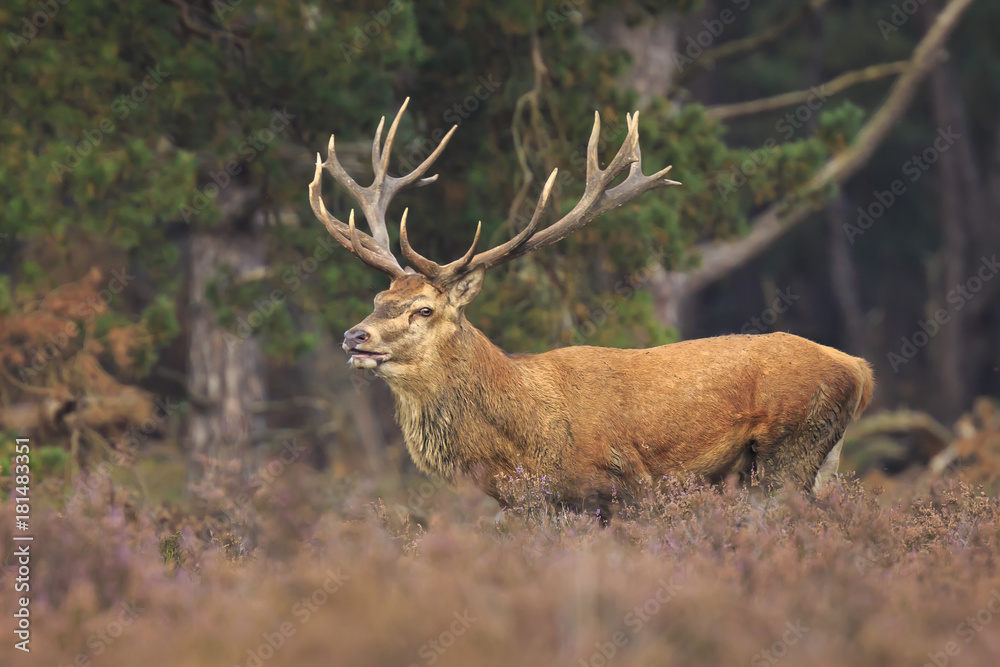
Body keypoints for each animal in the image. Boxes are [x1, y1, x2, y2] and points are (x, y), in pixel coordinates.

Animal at [308, 98, 875, 516]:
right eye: (379, 299)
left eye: (423, 309)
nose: (354, 336)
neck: (522, 445)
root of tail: (858, 368)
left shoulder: (631, 486)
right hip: (819, 461)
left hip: (790, 449)